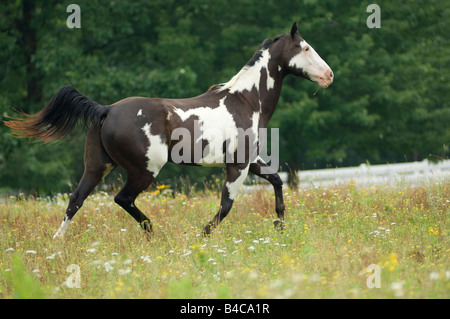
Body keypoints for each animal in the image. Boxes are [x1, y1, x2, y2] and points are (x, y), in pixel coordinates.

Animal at [5, 22, 332, 239]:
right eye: (305, 48)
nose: (328, 75)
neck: (246, 100)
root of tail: (106, 110)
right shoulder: (237, 166)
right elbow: (226, 206)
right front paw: (202, 236)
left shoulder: (250, 161)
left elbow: (276, 180)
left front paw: (280, 225)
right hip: (144, 170)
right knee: (122, 199)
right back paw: (153, 232)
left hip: (97, 166)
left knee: (76, 199)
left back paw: (58, 243)